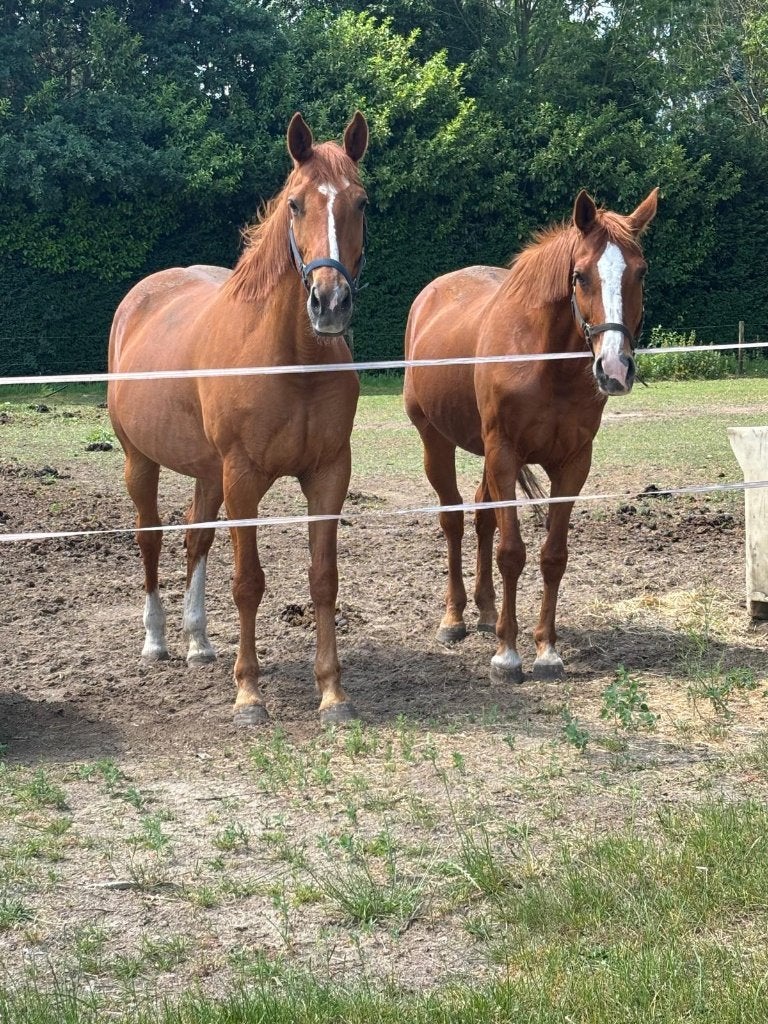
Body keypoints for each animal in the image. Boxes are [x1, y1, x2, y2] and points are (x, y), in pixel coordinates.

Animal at [108, 112, 369, 725]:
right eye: (295, 204)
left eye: (361, 202)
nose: (330, 303)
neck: (290, 358)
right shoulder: (244, 477)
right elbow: (248, 582)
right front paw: (248, 694)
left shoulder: (328, 474)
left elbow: (324, 580)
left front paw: (333, 693)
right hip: (141, 462)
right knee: (150, 537)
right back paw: (156, 639)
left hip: (208, 474)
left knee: (193, 538)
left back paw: (198, 642)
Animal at [403, 188, 658, 683]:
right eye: (580, 276)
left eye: (641, 273)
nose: (615, 369)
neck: (545, 360)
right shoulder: (504, 454)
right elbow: (512, 553)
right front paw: (507, 654)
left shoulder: (573, 464)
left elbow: (552, 555)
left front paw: (546, 649)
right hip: (436, 441)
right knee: (453, 518)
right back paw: (455, 618)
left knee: (481, 517)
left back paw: (486, 613)